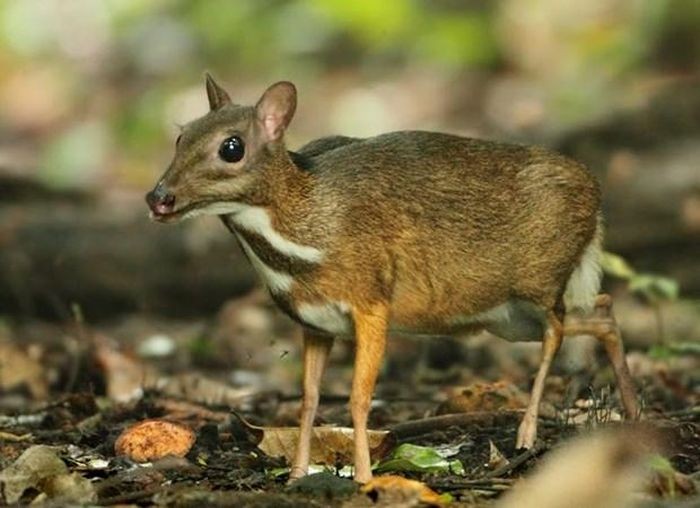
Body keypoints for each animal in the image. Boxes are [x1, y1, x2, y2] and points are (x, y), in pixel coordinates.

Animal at [148, 75, 640, 484]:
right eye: (181, 136)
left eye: (231, 147)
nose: (158, 198)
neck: (306, 232)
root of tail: (596, 193)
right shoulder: (314, 323)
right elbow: (309, 399)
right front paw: (297, 475)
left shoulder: (372, 302)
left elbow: (357, 398)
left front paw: (365, 477)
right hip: (507, 317)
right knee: (601, 310)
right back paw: (633, 409)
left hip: (538, 283)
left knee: (558, 328)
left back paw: (528, 431)